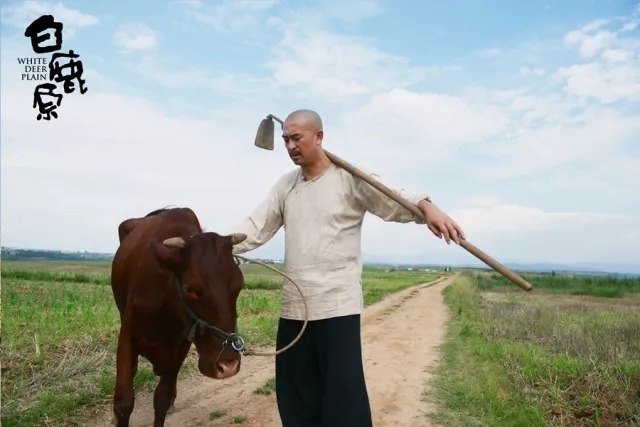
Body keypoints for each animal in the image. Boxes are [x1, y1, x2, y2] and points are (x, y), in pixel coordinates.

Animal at [109, 206, 246, 424]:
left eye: (239, 285)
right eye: (189, 288)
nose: (229, 364)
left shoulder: (180, 347)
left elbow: (161, 399)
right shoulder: (127, 337)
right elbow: (124, 403)